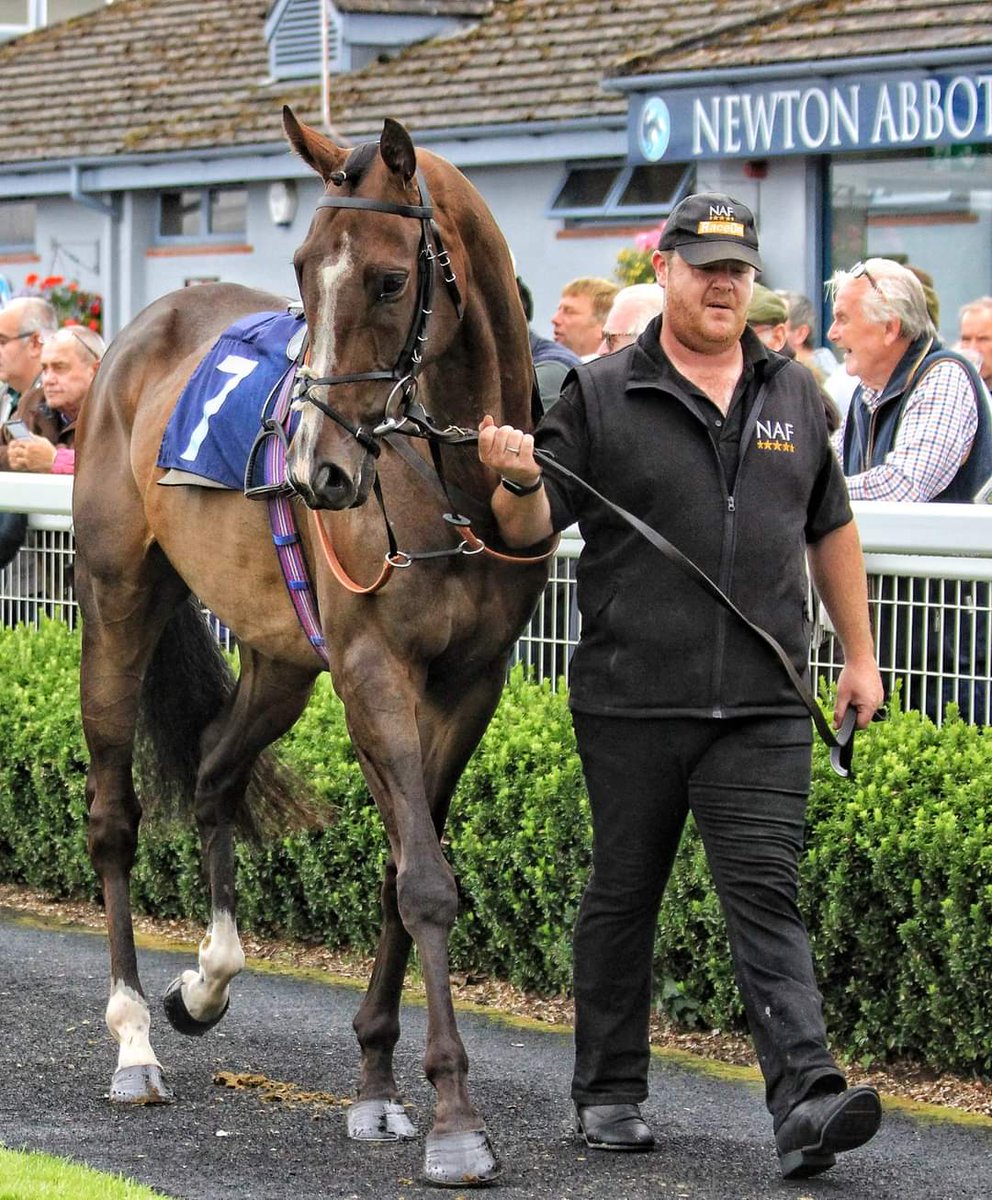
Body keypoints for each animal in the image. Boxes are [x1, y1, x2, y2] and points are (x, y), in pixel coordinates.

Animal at [74, 108, 554, 1185]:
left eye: (387, 278)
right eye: (298, 268)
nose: (313, 472)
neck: (450, 484)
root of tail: (140, 328)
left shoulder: (471, 682)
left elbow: (403, 863)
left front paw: (378, 1084)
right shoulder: (372, 668)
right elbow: (423, 880)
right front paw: (454, 1117)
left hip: (282, 657)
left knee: (215, 769)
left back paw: (207, 979)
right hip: (118, 598)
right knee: (115, 816)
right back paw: (131, 1039)